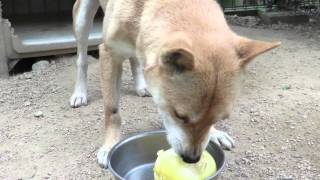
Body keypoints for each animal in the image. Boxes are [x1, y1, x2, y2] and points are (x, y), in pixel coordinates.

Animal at [70, 0, 280, 167]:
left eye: (218, 119)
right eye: (179, 115)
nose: (192, 159)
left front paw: (215, 133)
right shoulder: (109, 53)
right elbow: (112, 111)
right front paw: (110, 145)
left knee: (135, 59)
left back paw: (141, 86)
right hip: (82, 19)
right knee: (81, 59)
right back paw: (79, 93)